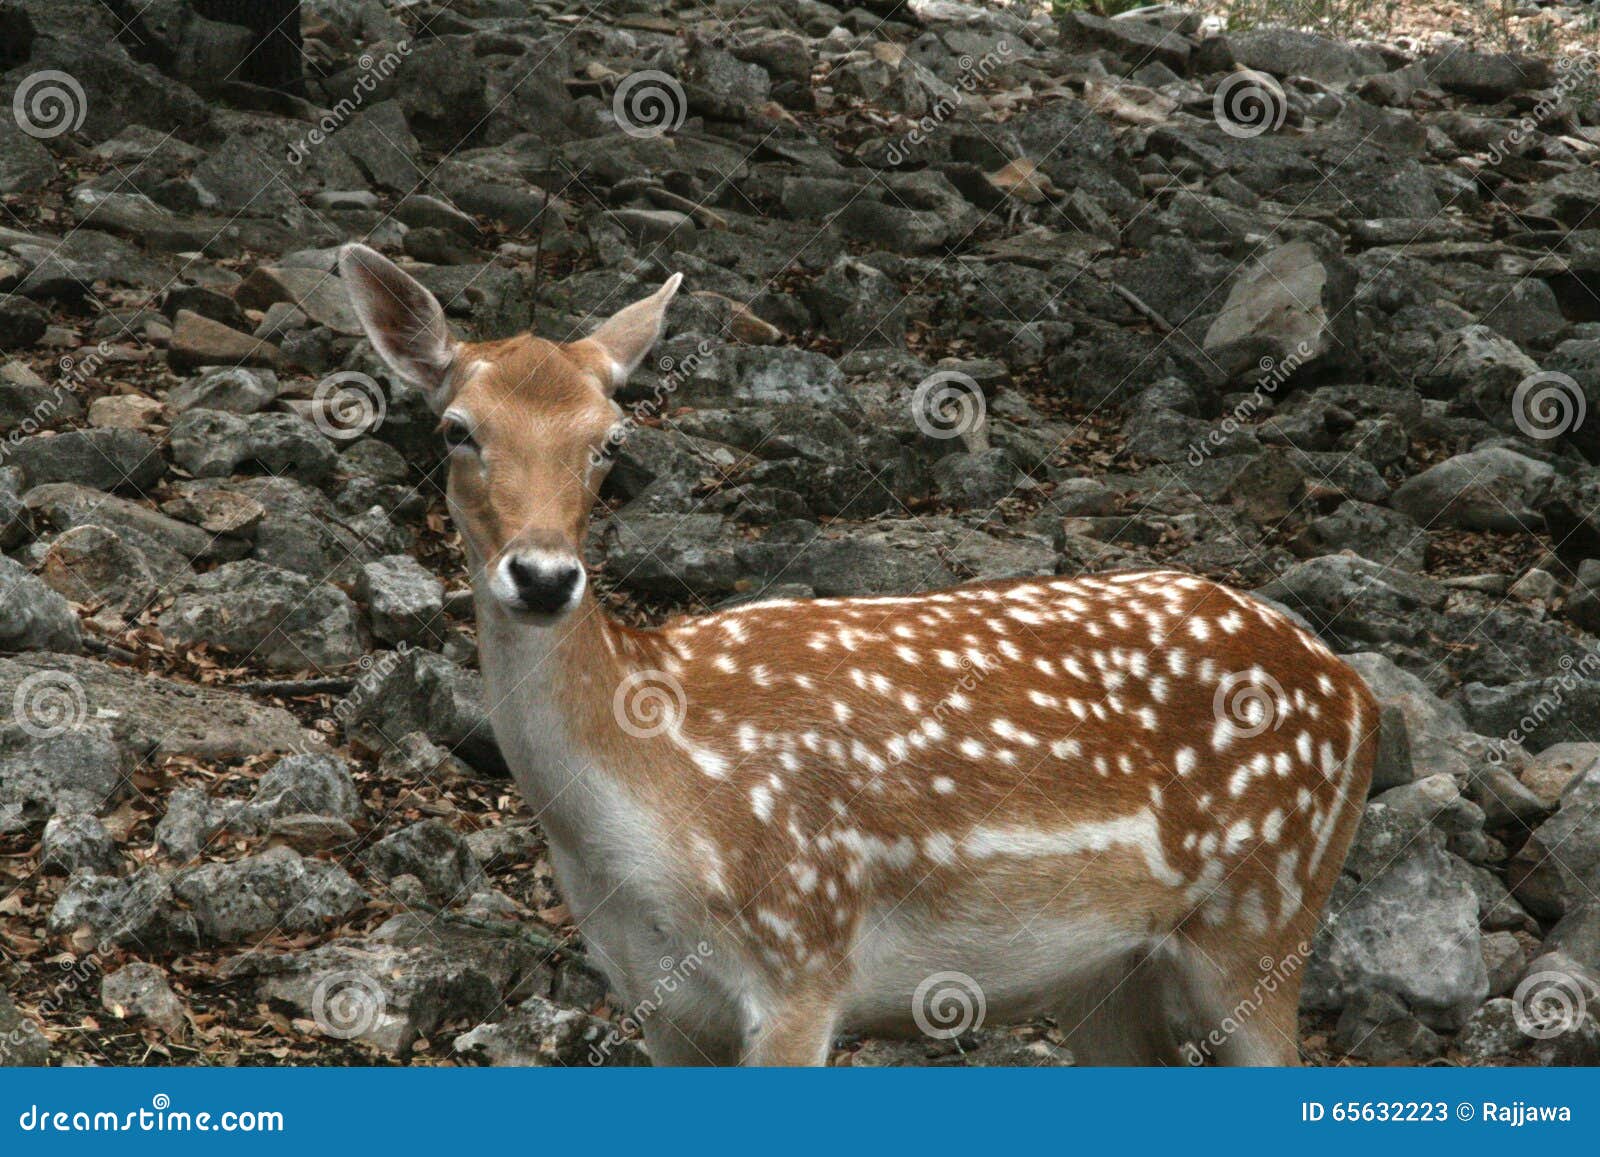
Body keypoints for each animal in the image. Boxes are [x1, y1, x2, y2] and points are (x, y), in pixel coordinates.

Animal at [339, 243, 1378, 1067]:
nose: (546, 576)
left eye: (610, 441)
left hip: (1265, 923)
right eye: (456, 428)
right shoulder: (657, 1001)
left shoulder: (804, 954)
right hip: (1110, 973)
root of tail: (1360, 695)